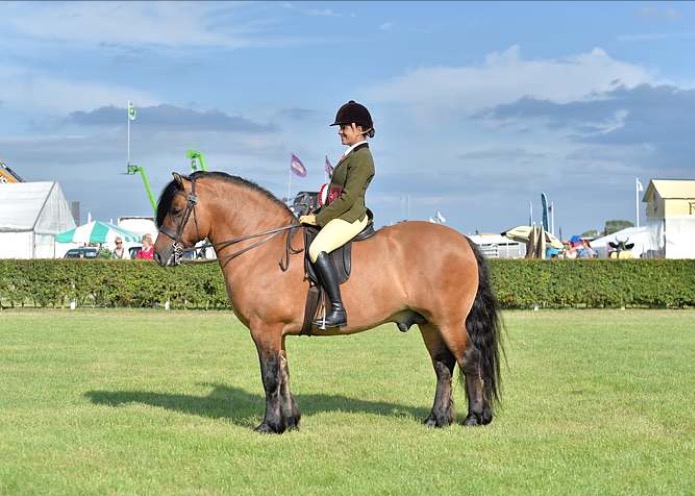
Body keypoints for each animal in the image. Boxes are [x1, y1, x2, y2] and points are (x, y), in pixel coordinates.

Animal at [153, 171, 503, 434]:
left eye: (175, 210)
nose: (158, 255)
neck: (264, 246)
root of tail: (461, 240)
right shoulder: (276, 332)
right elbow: (284, 372)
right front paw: (290, 421)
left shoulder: (264, 329)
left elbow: (270, 376)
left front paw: (269, 425)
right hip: (429, 323)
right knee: (443, 366)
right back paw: (437, 418)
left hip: (448, 321)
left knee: (469, 360)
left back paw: (476, 417)